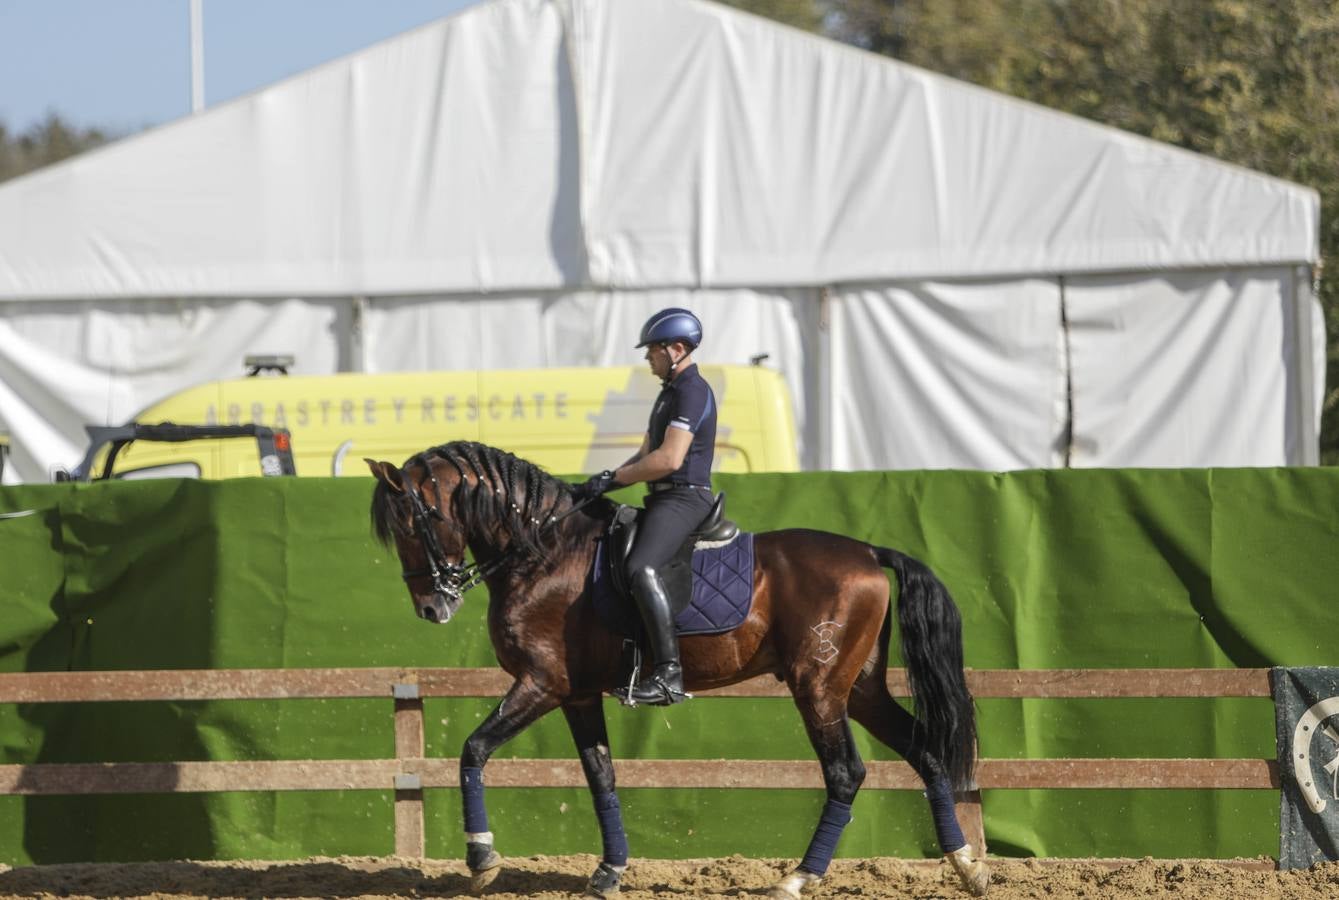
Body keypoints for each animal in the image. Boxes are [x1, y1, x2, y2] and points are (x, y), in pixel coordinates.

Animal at [366, 441, 989, 898]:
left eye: (411, 525)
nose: (432, 607)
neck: (544, 555)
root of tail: (868, 553)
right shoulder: (577, 694)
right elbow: (601, 776)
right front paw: (609, 872)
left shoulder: (541, 684)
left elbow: (473, 750)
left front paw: (482, 859)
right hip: (856, 688)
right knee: (926, 751)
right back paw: (968, 866)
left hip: (818, 689)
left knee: (845, 773)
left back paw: (798, 878)